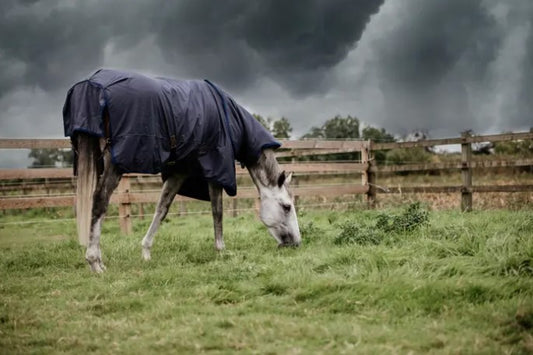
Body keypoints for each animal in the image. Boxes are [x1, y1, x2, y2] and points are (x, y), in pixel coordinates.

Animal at [62, 70, 300, 276]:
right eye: (287, 207)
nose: (297, 243)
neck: (231, 121)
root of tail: (92, 84)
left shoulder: (180, 172)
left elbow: (162, 209)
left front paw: (146, 251)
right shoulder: (215, 171)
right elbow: (217, 211)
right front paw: (221, 250)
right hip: (115, 164)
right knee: (99, 200)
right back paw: (95, 262)